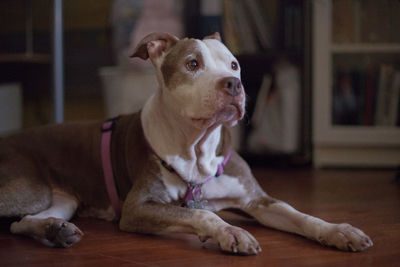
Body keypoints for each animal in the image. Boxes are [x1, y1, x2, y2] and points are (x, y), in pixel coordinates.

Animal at [0, 32, 372, 254]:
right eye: (193, 64)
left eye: (234, 64)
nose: (234, 84)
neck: (198, 151)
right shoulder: (139, 207)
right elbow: (200, 214)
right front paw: (230, 232)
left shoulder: (257, 199)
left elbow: (300, 214)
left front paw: (339, 230)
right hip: (31, 187)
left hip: (62, 198)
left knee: (20, 223)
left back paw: (55, 230)